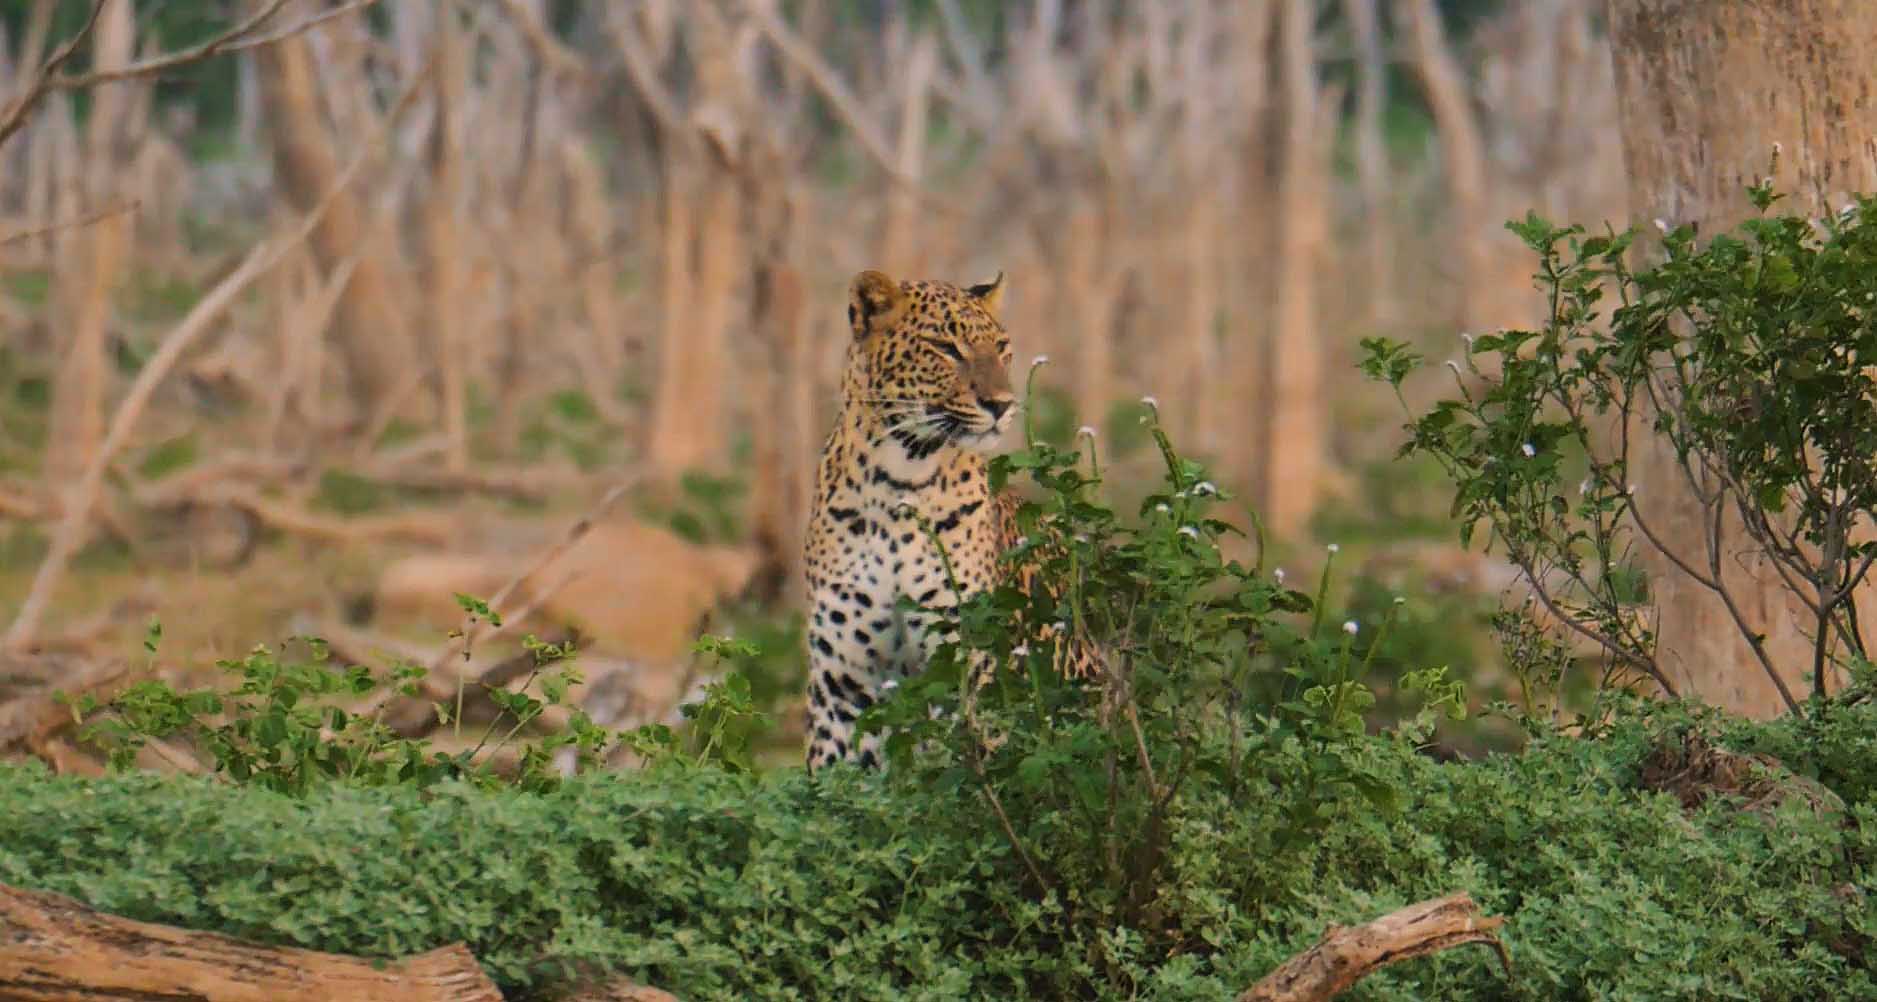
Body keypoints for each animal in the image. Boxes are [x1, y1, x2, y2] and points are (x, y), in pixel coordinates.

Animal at [802, 268, 1096, 773]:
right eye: (945, 347)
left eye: (1001, 347)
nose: (1002, 404)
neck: (896, 482)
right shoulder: (844, 685)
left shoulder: (967, 664)